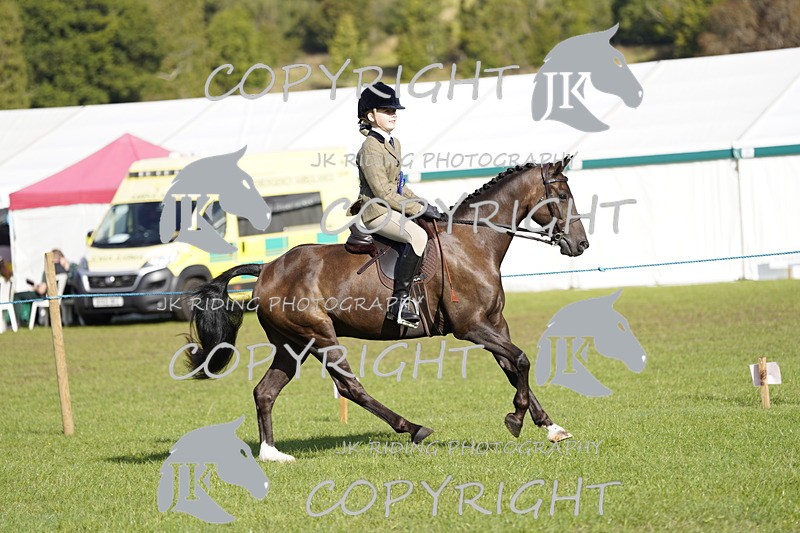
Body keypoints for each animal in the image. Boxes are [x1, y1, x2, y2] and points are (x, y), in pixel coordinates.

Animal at [184, 156, 589, 462]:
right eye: (562, 194)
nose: (581, 245)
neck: (472, 242)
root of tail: (267, 267)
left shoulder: (494, 324)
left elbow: (513, 367)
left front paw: (551, 427)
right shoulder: (471, 327)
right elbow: (520, 360)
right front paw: (516, 419)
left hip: (293, 344)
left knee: (265, 392)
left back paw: (272, 454)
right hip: (318, 335)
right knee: (349, 387)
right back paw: (412, 428)